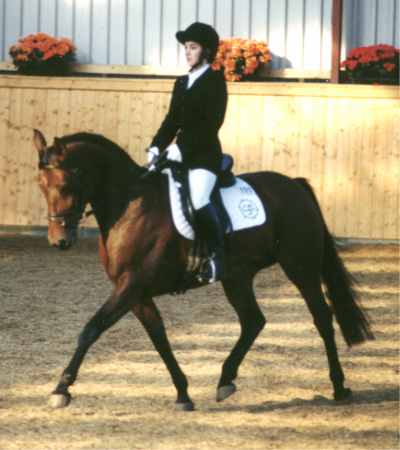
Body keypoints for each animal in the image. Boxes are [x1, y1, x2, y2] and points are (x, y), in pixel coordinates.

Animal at [33, 129, 374, 411]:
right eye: (41, 185)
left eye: (65, 183)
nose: (59, 241)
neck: (130, 206)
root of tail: (295, 185)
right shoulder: (136, 293)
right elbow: (159, 338)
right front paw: (183, 394)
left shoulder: (131, 285)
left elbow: (91, 328)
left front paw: (61, 389)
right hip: (237, 277)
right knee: (253, 321)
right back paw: (225, 380)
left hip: (300, 268)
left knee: (322, 317)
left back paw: (339, 386)